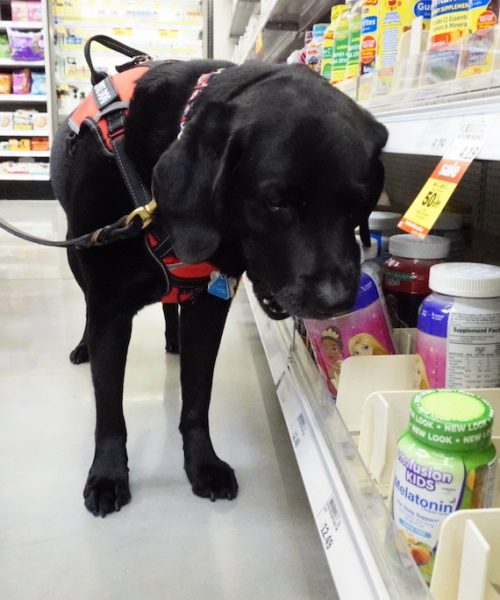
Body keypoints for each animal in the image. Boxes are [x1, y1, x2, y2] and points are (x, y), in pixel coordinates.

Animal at [49, 59, 386, 516]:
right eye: (276, 202)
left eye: (359, 204)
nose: (336, 300)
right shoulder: (110, 309)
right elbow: (109, 410)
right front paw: (107, 474)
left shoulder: (209, 307)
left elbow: (196, 399)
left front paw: (202, 464)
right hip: (77, 251)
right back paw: (84, 346)